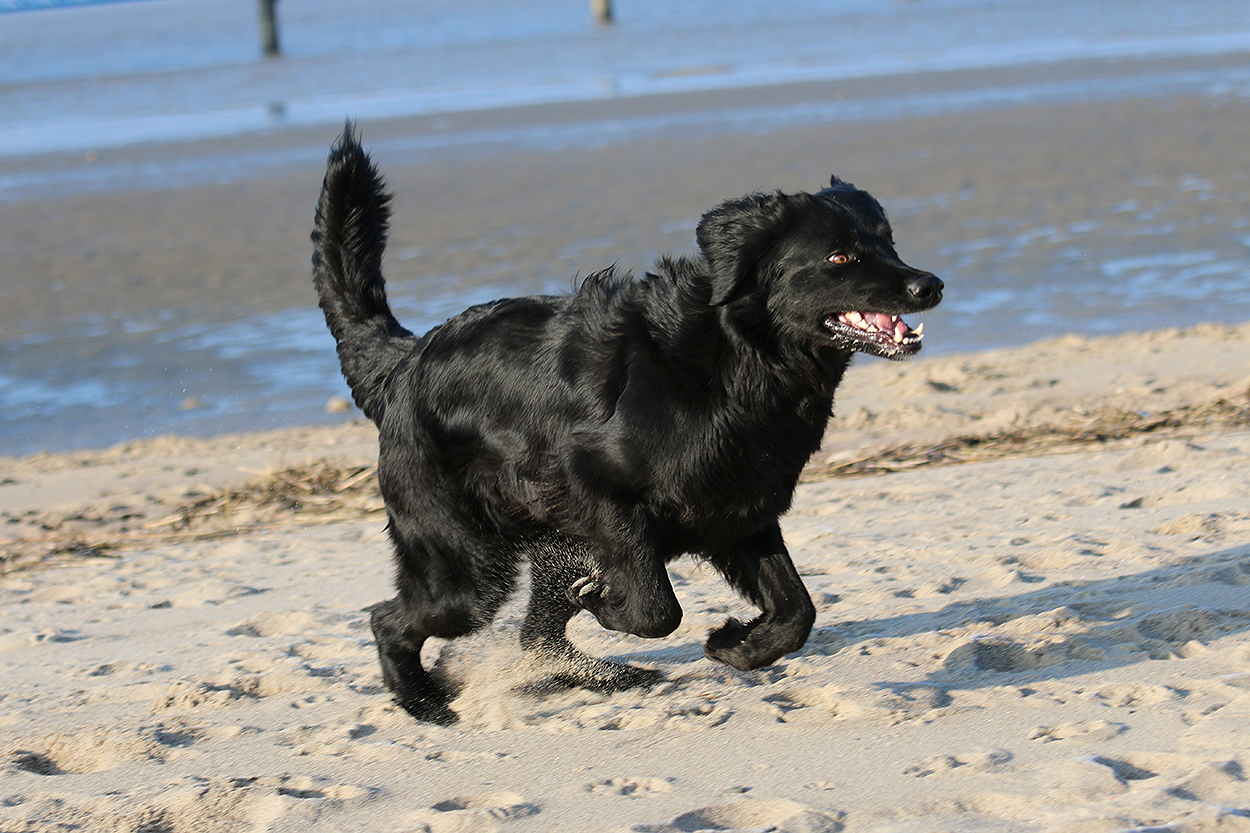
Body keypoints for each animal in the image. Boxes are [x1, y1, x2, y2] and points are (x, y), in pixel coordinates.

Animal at [311, 124, 942, 724]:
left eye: (888, 242)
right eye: (839, 257)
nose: (930, 285)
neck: (735, 358)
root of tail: (404, 363)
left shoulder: (740, 511)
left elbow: (797, 610)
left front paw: (737, 646)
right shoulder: (604, 496)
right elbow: (658, 609)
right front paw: (608, 603)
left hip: (537, 547)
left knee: (532, 635)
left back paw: (606, 678)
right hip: (466, 568)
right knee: (389, 620)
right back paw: (425, 703)